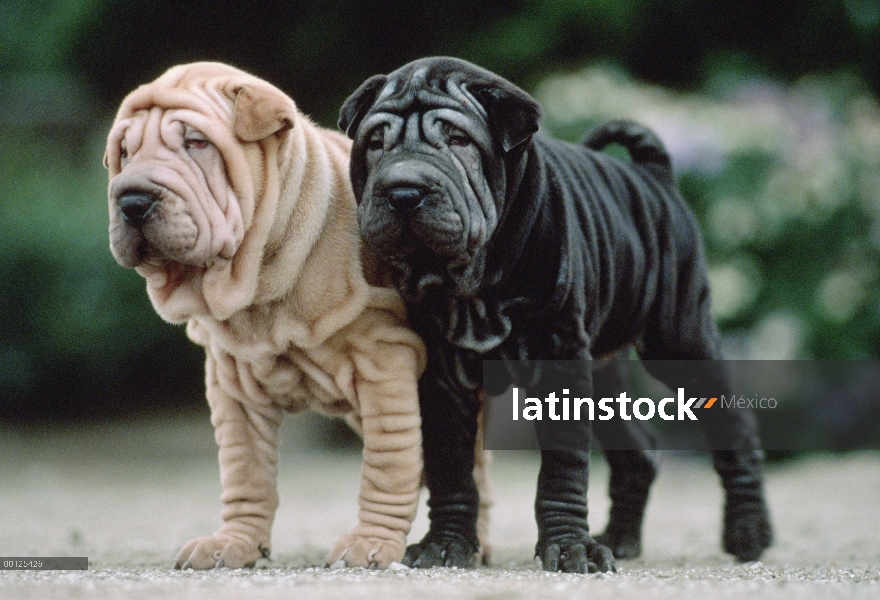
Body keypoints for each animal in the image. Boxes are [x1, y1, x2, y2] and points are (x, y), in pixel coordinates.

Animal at [105, 63, 428, 568]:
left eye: (196, 142)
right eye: (123, 151)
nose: (132, 200)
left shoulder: (383, 360)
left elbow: (389, 461)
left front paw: (370, 542)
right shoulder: (231, 380)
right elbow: (245, 470)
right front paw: (232, 543)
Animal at [336, 56, 768, 572]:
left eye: (459, 140)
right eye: (375, 142)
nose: (403, 191)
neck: (474, 281)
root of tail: (654, 178)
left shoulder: (560, 358)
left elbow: (563, 467)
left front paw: (568, 546)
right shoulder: (442, 374)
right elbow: (451, 470)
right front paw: (446, 543)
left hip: (680, 341)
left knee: (733, 429)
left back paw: (748, 532)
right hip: (603, 369)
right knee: (639, 453)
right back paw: (622, 536)